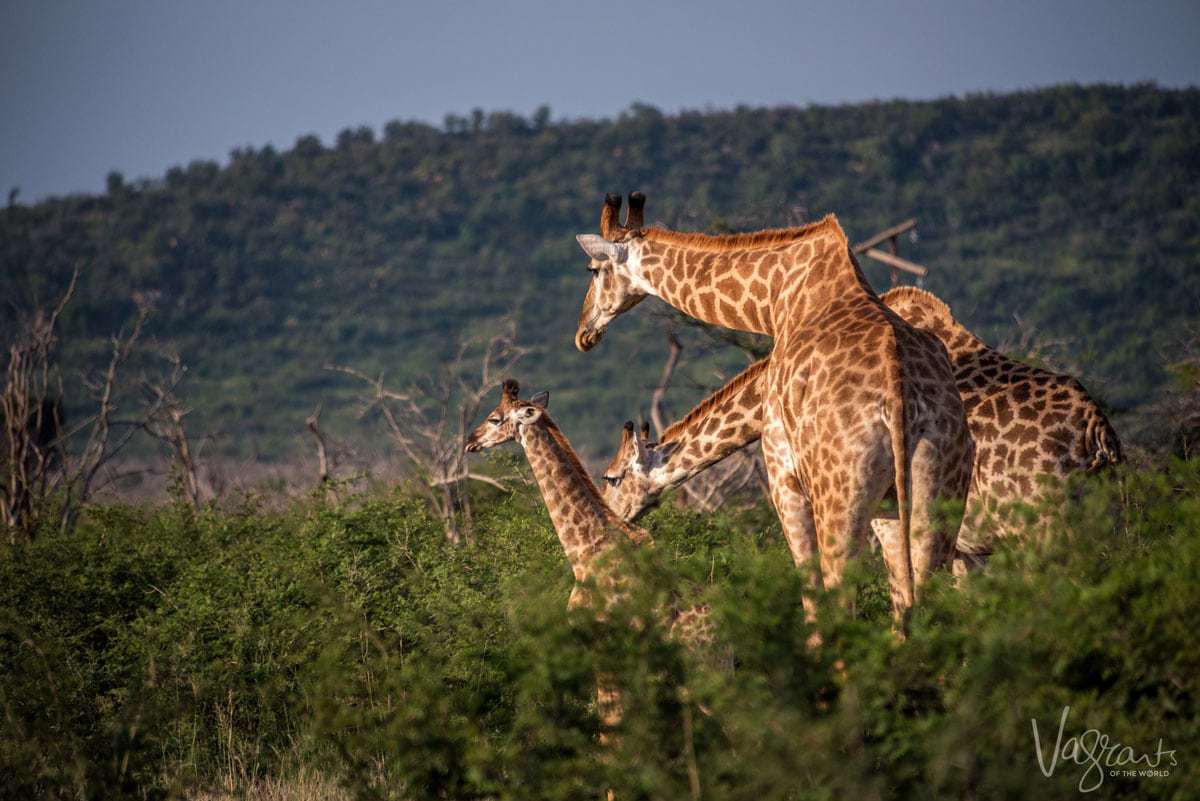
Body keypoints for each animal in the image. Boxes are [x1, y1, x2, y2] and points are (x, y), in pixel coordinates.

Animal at [573, 196, 974, 623]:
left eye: (593, 269)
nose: (584, 333)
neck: (776, 297)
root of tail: (900, 400)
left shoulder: (782, 472)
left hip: (840, 498)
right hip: (934, 493)